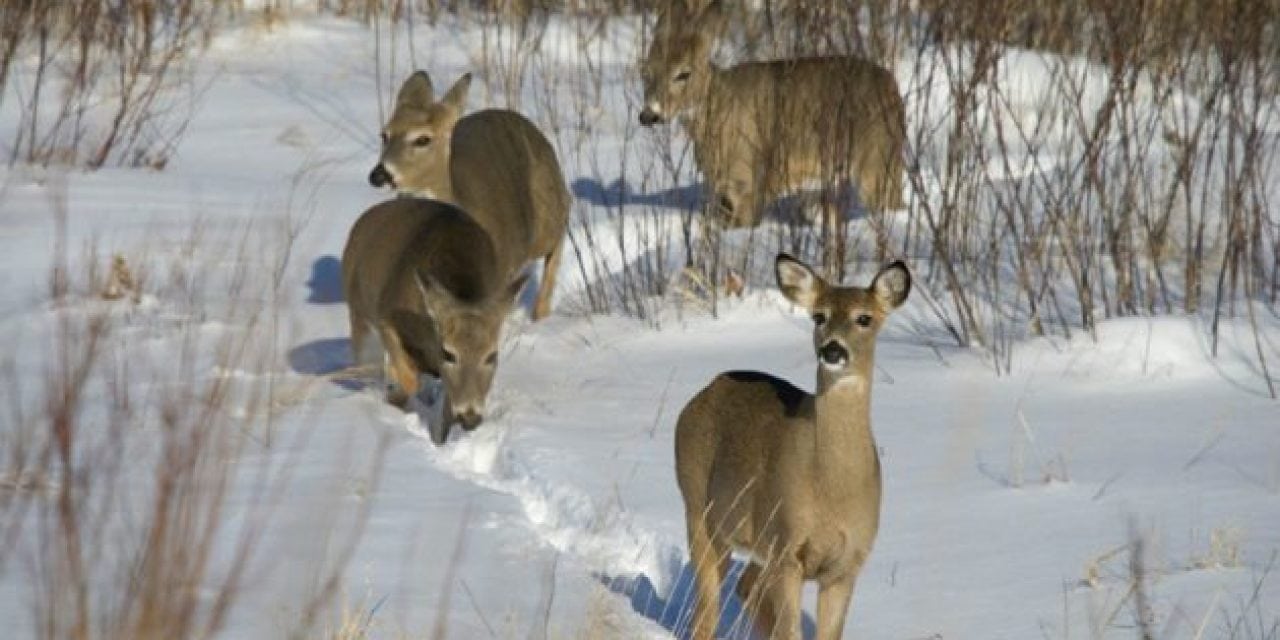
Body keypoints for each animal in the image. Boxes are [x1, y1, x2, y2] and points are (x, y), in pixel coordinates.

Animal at [343, 198, 527, 445]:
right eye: (449, 354)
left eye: (491, 356)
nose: (470, 417)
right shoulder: (385, 315)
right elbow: (406, 379)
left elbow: (444, 417)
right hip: (358, 312)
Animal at [371, 71, 570, 320]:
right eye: (384, 134)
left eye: (423, 139)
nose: (379, 174)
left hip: (545, 214)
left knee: (562, 221)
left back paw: (540, 312)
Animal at [634, 0, 906, 232]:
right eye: (646, 70)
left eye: (684, 73)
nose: (648, 114)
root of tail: (892, 86)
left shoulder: (750, 180)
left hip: (878, 159)